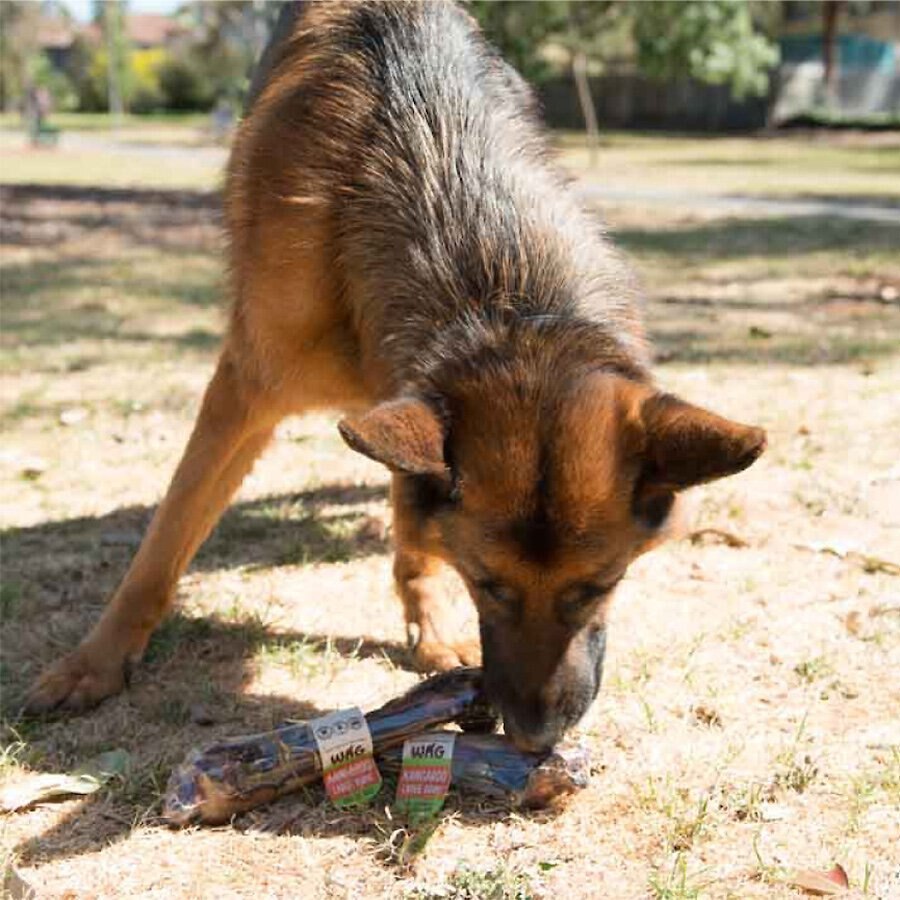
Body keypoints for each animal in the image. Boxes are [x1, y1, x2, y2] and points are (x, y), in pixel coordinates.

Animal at [24, 1, 764, 752]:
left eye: (602, 584)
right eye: (487, 583)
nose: (534, 739)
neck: (492, 287)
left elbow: (412, 530)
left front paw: (430, 627)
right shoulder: (245, 392)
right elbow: (165, 540)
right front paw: (94, 663)